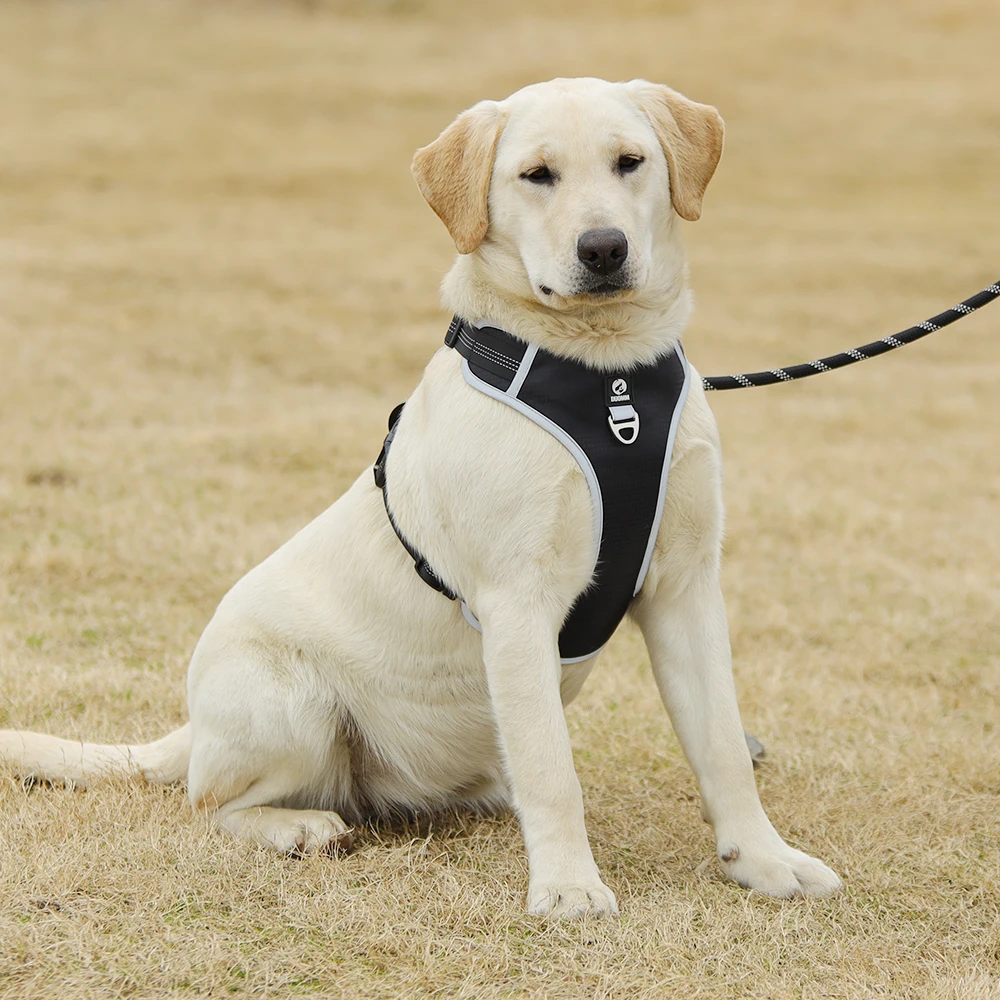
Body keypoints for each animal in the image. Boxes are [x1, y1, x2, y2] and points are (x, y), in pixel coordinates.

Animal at [1, 80, 844, 920]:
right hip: (288, 700)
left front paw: (763, 861)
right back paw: (297, 827)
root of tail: (194, 727)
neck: (607, 379)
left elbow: (722, 747)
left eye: (630, 162)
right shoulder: (517, 604)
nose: (603, 248)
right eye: (536, 175)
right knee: (211, 803)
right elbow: (554, 773)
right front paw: (569, 886)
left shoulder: (685, 589)